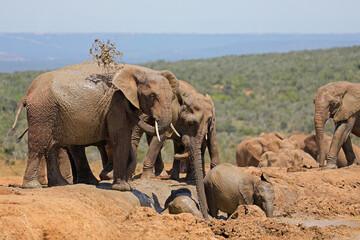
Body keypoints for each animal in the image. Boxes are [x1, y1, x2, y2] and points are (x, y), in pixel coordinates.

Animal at [9, 61, 176, 191]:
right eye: (152, 96)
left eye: (172, 97)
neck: (140, 71)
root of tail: (28, 92)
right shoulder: (116, 103)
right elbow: (120, 138)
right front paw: (122, 188)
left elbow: (125, 138)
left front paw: (126, 185)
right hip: (43, 111)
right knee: (39, 146)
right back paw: (32, 186)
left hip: (50, 113)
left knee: (52, 147)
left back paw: (61, 184)